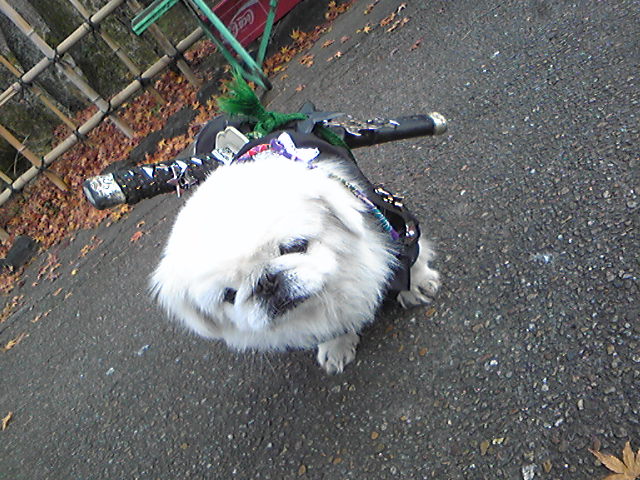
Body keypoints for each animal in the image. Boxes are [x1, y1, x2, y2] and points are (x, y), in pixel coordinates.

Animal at [150, 129, 440, 373]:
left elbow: (410, 260)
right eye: (229, 296)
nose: (266, 282)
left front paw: (418, 284)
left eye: (295, 247)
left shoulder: (398, 225)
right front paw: (336, 346)